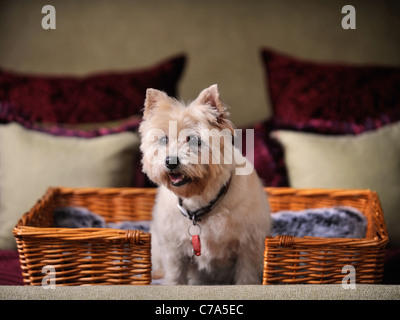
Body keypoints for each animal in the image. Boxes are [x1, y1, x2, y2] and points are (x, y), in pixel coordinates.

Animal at [138, 85, 272, 284]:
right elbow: (175, 276)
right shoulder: (173, 250)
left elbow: (246, 276)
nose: (170, 162)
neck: (199, 199)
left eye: (193, 139)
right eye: (163, 139)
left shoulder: (249, 246)